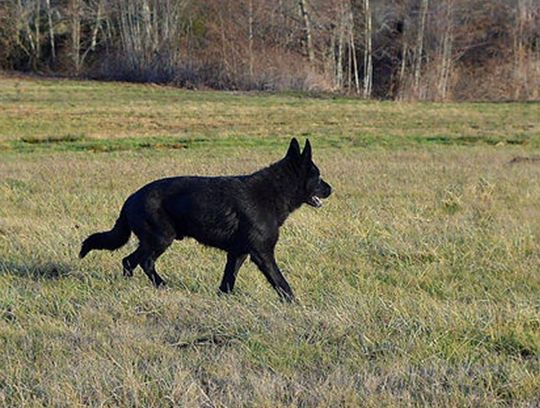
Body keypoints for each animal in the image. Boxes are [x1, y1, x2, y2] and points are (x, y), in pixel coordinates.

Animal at [79, 139, 332, 302]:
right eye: (318, 176)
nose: (331, 189)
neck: (273, 192)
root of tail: (130, 199)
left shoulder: (238, 253)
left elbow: (228, 280)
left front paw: (222, 299)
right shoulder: (262, 254)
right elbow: (281, 283)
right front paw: (294, 304)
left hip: (154, 240)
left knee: (130, 262)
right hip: (160, 239)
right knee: (141, 262)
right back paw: (160, 285)